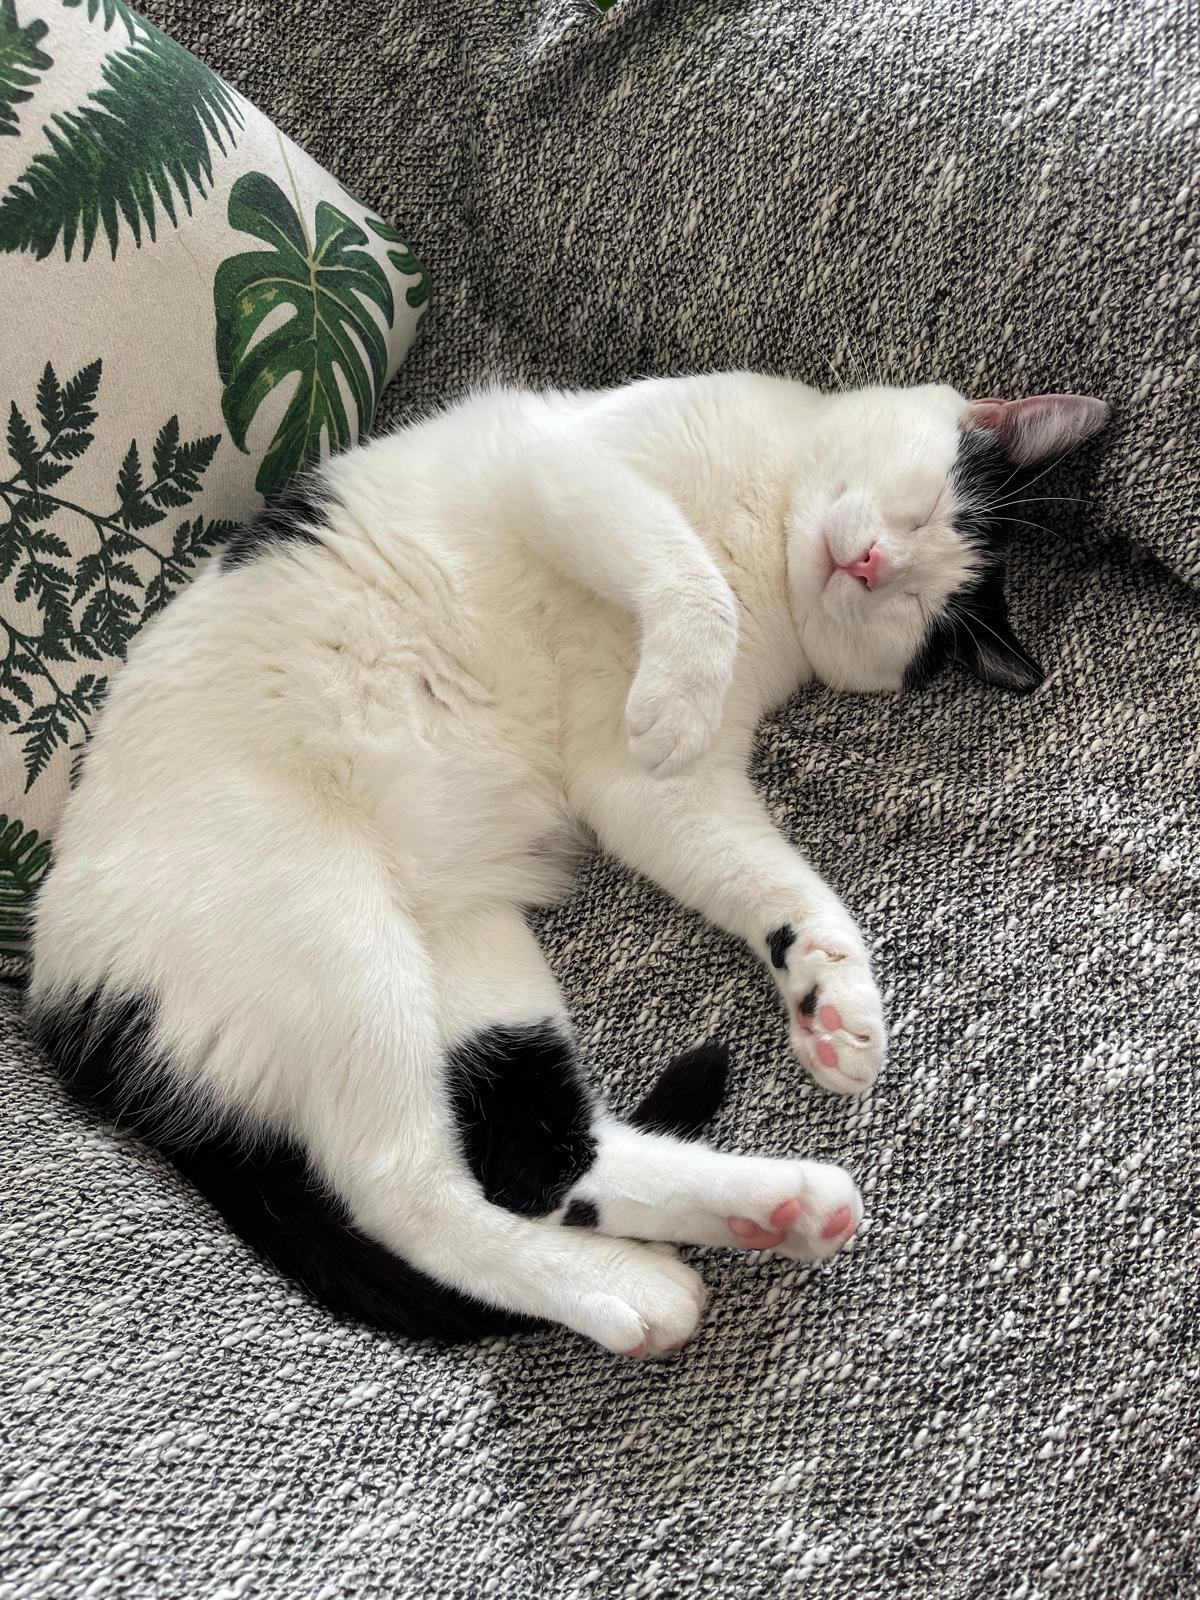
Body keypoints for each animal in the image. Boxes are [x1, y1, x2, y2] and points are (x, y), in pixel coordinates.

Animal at [28, 374, 1108, 1356]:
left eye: (924, 604)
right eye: (928, 510)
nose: (875, 563)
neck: (765, 547)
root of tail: (57, 990)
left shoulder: (644, 790)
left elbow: (773, 878)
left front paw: (831, 995)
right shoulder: (567, 461)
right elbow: (686, 576)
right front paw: (677, 691)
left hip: (457, 962)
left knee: (525, 1165)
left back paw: (767, 1212)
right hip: (334, 934)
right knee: (406, 1193)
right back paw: (637, 1285)